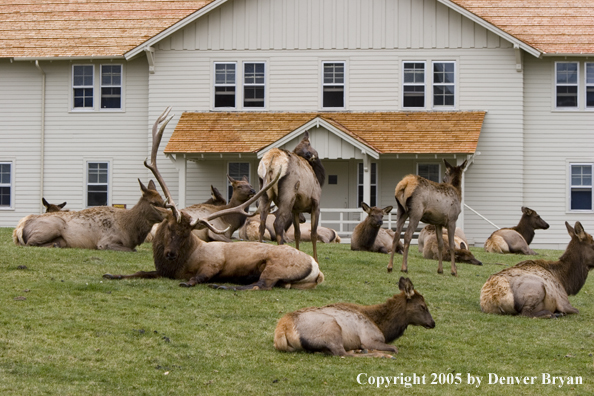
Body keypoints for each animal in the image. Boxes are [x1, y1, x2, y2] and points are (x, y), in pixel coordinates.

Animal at [14, 179, 166, 251]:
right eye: (154, 202)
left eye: (163, 202)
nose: (168, 216)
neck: (129, 229)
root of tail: (17, 230)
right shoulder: (105, 242)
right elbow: (132, 250)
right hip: (53, 226)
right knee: (30, 243)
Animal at [256, 131, 324, 262]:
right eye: (308, 143)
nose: (309, 154)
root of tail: (272, 159)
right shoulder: (316, 204)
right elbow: (313, 234)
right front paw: (316, 260)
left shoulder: (296, 210)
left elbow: (297, 234)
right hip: (287, 196)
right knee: (278, 224)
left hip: (264, 193)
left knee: (261, 224)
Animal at [274, 276, 434, 358]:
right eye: (422, 306)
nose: (433, 323)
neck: (383, 326)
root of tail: (282, 330)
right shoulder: (370, 338)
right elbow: (395, 348)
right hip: (332, 328)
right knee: (342, 353)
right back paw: (376, 354)